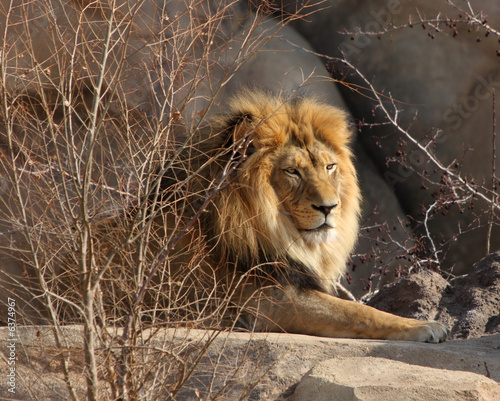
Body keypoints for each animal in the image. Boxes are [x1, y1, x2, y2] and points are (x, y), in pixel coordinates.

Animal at [146, 91, 450, 340]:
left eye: (329, 166)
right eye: (292, 171)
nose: (329, 207)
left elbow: (356, 308)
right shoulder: (268, 301)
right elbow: (357, 311)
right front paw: (424, 326)